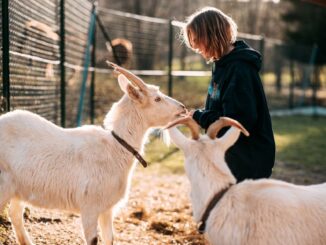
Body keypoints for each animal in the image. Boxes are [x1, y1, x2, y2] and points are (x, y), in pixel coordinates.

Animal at [0, 63, 186, 245]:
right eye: (157, 98)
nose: (182, 108)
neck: (115, 147)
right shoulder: (89, 207)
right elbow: (93, 240)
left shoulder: (107, 209)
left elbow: (110, 239)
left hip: (19, 189)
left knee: (15, 214)